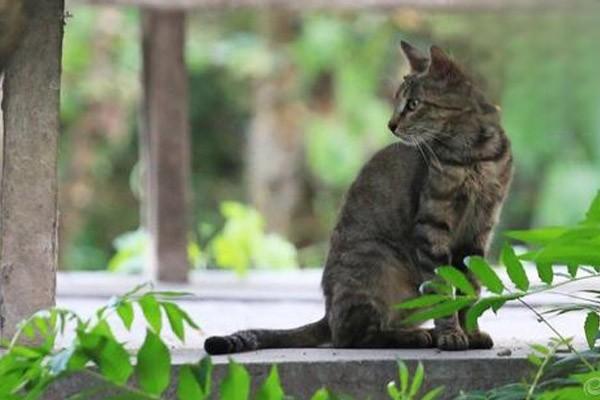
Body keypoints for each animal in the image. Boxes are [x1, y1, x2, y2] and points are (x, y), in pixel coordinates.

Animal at [205, 40, 510, 354]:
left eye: (413, 104)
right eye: (397, 102)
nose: (391, 124)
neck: (474, 155)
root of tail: (327, 314)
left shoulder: (479, 231)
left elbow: (470, 289)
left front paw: (471, 333)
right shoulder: (432, 226)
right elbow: (442, 289)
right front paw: (451, 334)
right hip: (377, 262)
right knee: (352, 336)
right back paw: (415, 336)